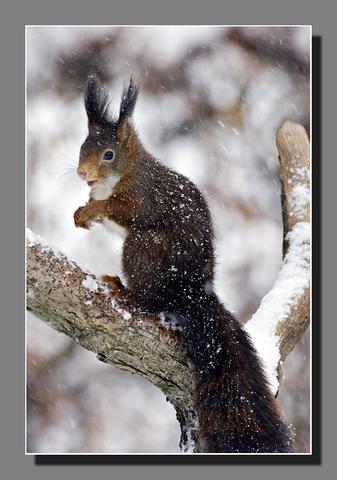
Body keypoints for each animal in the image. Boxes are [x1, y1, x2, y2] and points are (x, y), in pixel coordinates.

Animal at [73, 75, 292, 454]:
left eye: (108, 154)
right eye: (82, 146)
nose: (82, 173)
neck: (125, 172)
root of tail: (192, 290)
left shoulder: (141, 198)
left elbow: (121, 211)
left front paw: (92, 209)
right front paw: (81, 212)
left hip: (142, 249)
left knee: (154, 298)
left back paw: (127, 292)